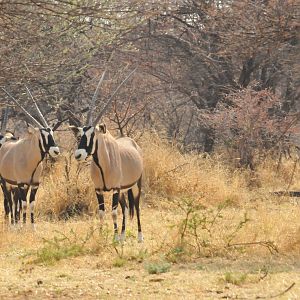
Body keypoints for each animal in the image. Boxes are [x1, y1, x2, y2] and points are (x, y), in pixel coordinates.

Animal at [0, 86, 60, 225]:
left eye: (52, 133)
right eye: (42, 135)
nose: (55, 150)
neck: (30, 161)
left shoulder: (34, 184)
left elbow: (30, 204)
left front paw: (31, 226)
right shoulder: (21, 184)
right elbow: (23, 204)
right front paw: (21, 226)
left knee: (14, 202)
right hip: (5, 183)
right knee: (9, 202)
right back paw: (12, 224)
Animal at [70, 65, 143, 241]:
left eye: (93, 135)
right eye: (79, 135)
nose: (78, 154)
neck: (104, 164)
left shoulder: (115, 189)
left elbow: (114, 213)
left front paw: (114, 238)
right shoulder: (99, 189)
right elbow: (102, 213)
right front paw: (102, 235)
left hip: (136, 185)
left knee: (136, 207)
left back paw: (139, 237)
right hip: (123, 190)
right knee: (125, 207)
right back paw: (123, 235)